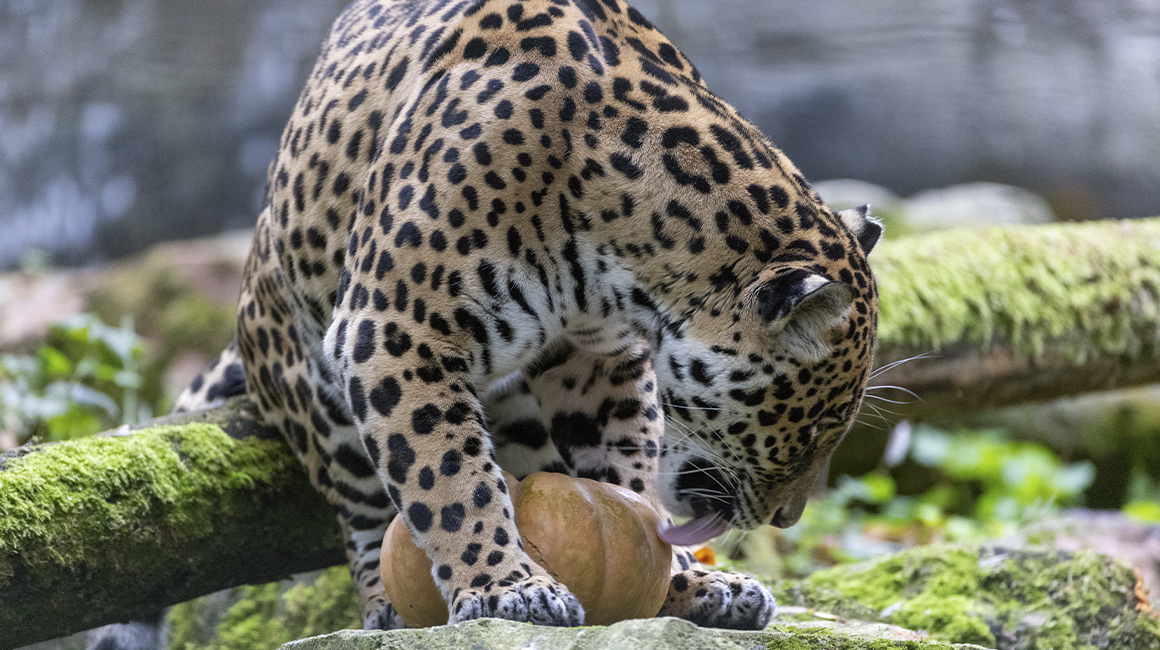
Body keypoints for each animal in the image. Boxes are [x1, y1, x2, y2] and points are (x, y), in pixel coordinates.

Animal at [182, 0, 882, 631]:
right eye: (816, 427)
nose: (787, 518)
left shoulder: (599, 360)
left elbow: (626, 487)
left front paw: (672, 583)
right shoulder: (394, 328)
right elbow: (444, 472)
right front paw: (505, 587)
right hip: (319, 400)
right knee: (365, 518)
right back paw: (389, 607)